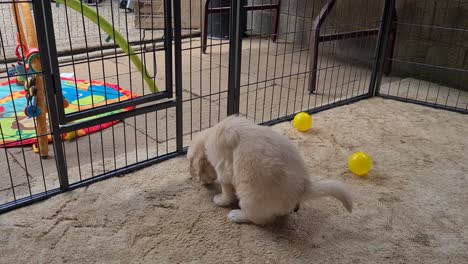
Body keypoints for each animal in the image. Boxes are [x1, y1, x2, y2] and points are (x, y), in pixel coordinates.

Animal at [186, 116, 352, 225]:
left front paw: (220, 200)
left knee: (259, 219)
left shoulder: (224, 170)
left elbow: (226, 191)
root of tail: (304, 188)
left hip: (250, 195)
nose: (197, 181)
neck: (209, 137)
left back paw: (237, 215)